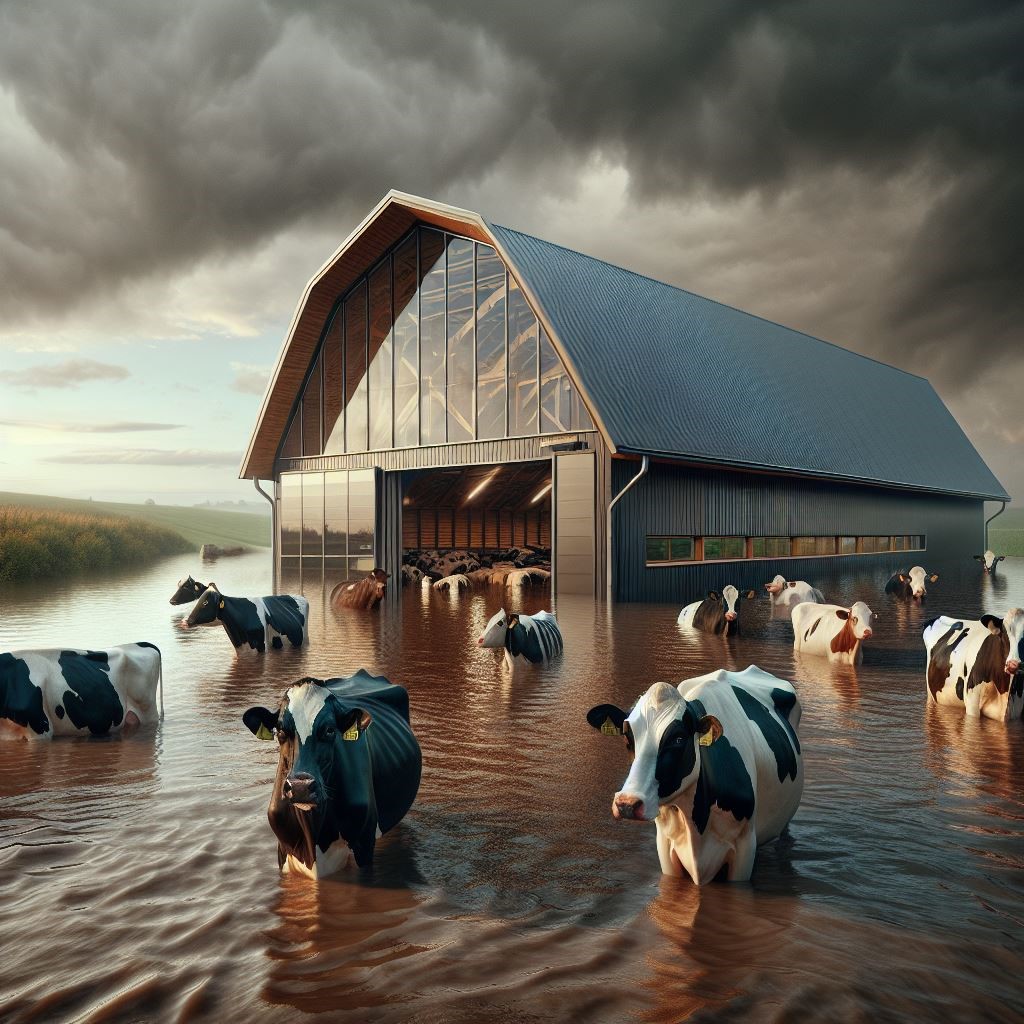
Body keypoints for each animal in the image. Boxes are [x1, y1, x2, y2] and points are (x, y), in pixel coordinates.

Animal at [589, 667, 802, 884]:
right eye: (627, 737)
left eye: (678, 738)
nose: (627, 803)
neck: (697, 825)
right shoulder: (665, 845)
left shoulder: (745, 846)